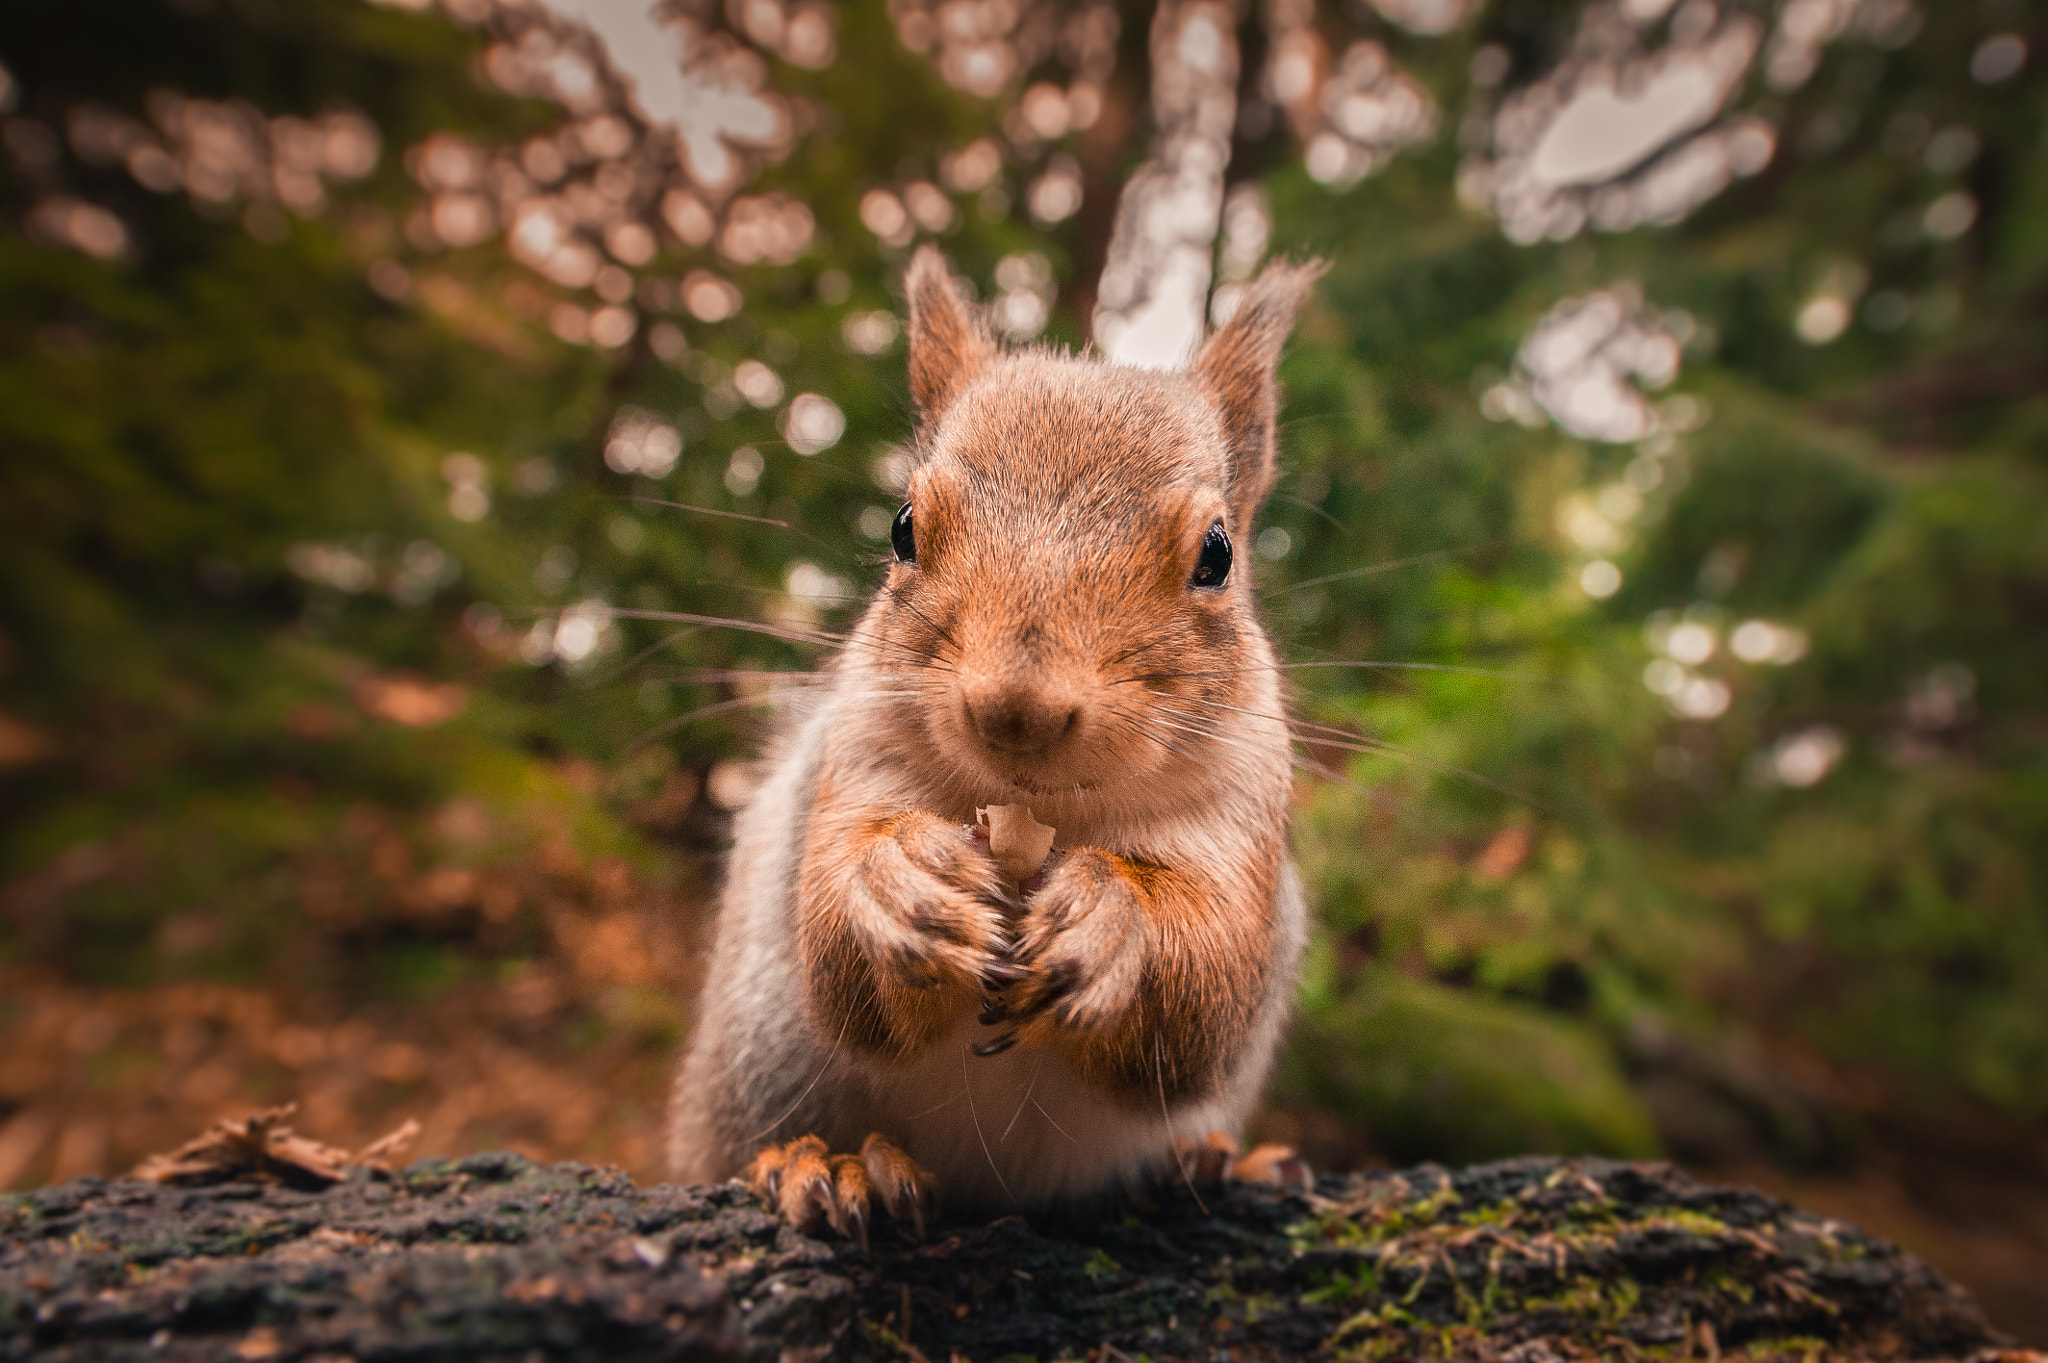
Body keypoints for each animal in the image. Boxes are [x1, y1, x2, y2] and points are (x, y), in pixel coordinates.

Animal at [667, 245, 1321, 1243]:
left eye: (1217, 554)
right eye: (902, 527)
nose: (1018, 708)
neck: (1042, 818)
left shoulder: (1242, 812)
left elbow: (1208, 981)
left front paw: (1112, 919)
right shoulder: (857, 758)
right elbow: (843, 948)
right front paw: (903, 882)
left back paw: (1211, 1157)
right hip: (756, 1061)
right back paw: (830, 1166)